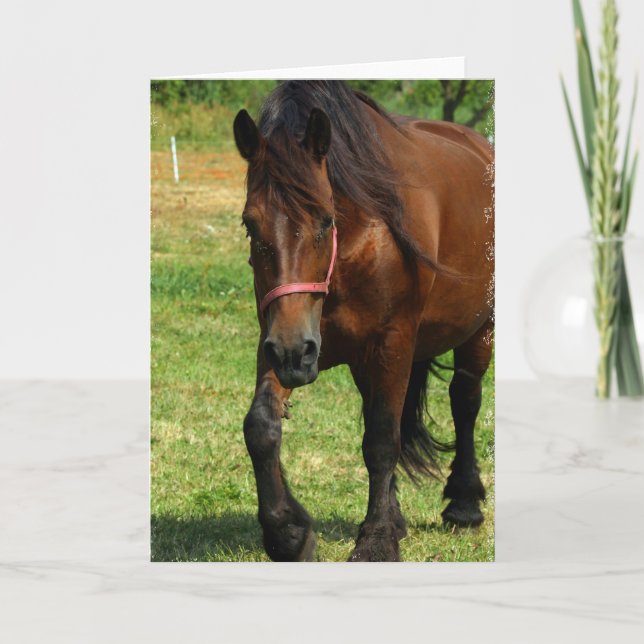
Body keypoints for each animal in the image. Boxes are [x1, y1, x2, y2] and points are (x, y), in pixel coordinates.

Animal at [233, 80, 494, 562]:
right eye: (249, 225)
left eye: (325, 221)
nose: (294, 355)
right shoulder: (281, 338)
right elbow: (261, 426)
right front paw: (289, 534)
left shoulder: (392, 341)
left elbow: (382, 440)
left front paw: (376, 541)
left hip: (478, 330)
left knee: (464, 400)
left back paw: (464, 504)